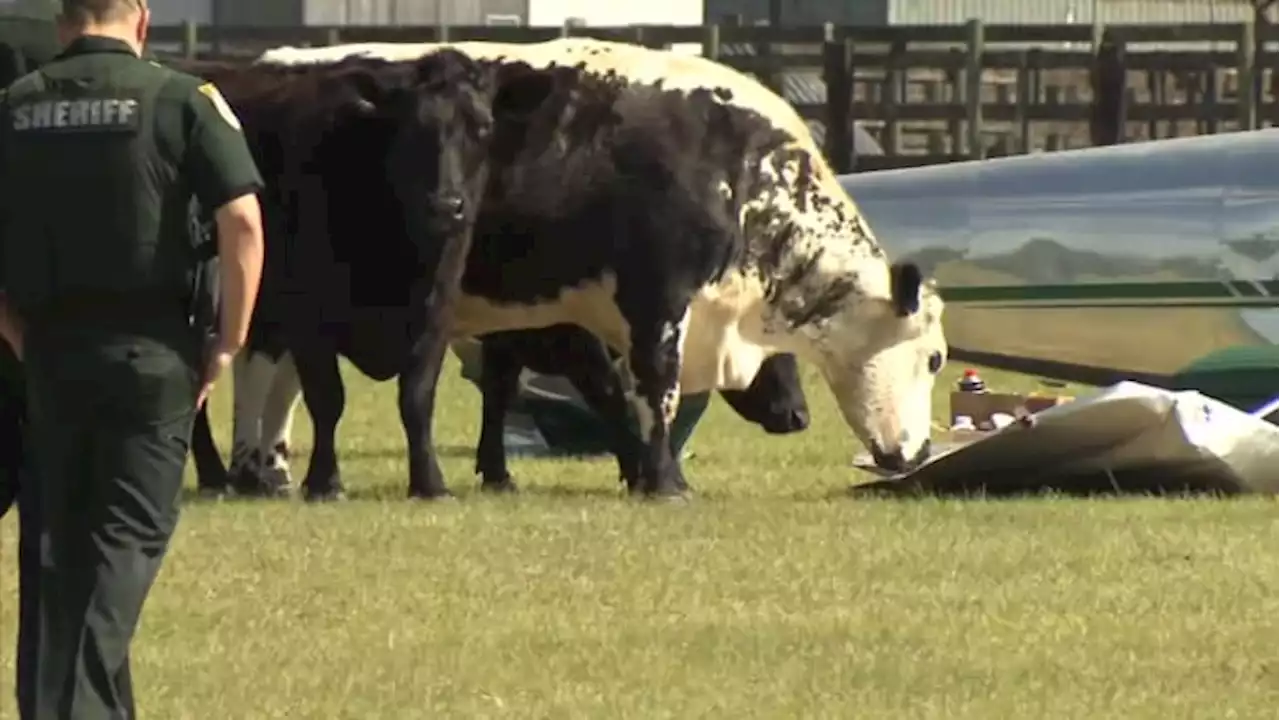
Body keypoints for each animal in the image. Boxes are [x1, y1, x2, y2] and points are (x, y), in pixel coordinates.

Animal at [249, 40, 947, 499]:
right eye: (934, 357)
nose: (918, 452)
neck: (732, 169)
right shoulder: (653, 301)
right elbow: (653, 390)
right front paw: (661, 480)